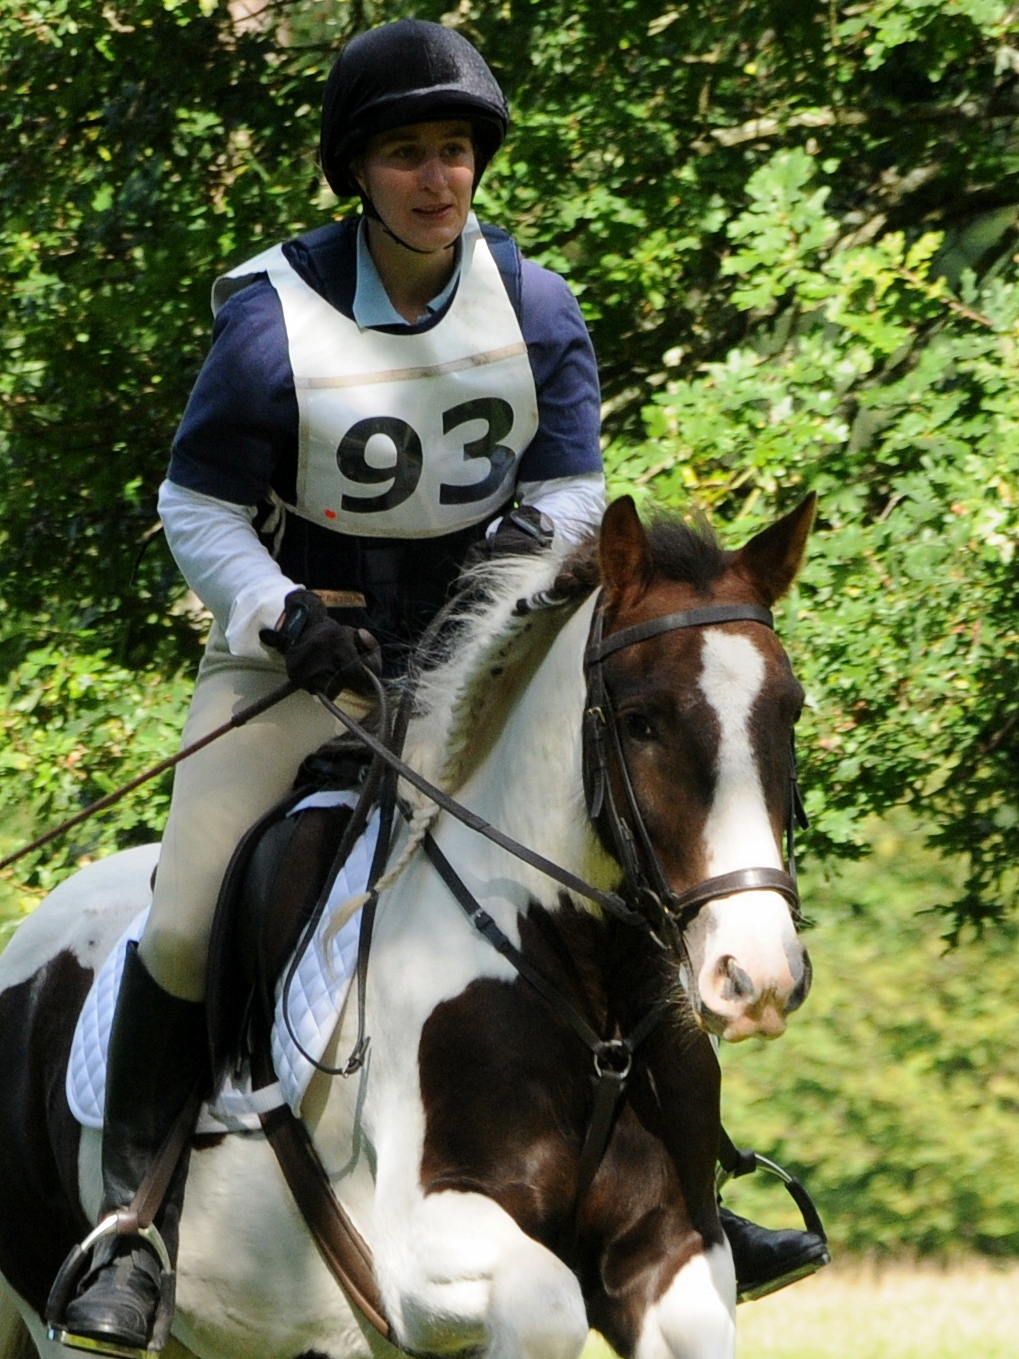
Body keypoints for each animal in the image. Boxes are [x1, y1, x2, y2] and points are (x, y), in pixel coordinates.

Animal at [0, 493, 815, 1359]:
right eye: (639, 720)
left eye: (788, 709)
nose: (756, 974)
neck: (588, 995)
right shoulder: (421, 1252)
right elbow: (547, 1303)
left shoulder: (672, 1247)